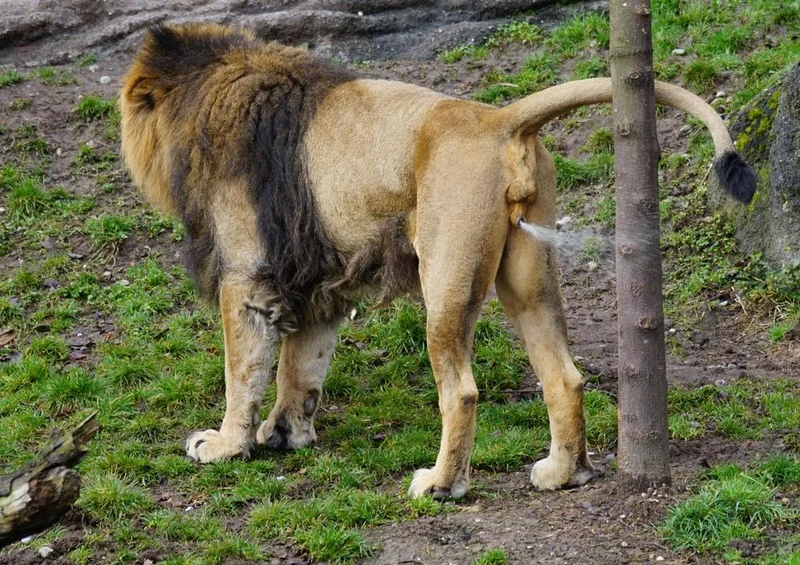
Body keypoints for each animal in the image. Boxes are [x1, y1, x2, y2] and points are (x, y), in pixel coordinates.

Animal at [120, 23, 755, 498]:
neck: (208, 92)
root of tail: (499, 119)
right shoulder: (319, 282)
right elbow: (301, 365)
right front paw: (286, 434)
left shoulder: (246, 276)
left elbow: (244, 371)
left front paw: (225, 445)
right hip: (528, 278)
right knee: (565, 377)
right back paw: (562, 473)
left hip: (445, 277)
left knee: (462, 391)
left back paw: (441, 484)